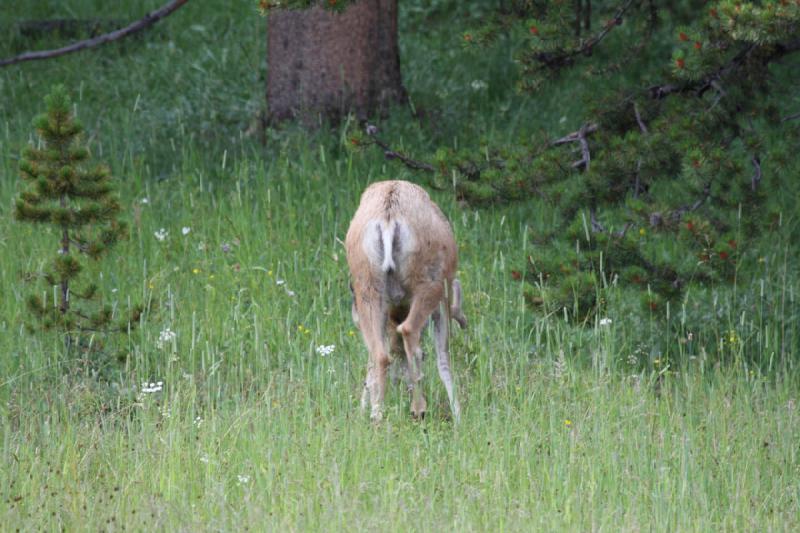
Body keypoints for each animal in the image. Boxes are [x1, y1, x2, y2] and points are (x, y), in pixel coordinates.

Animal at [346, 181, 468, 422]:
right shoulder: (443, 298)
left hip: (367, 283)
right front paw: (458, 414)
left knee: (379, 353)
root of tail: (388, 218)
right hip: (429, 281)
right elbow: (442, 356)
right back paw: (418, 408)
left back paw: (376, 414)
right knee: (409, 331)